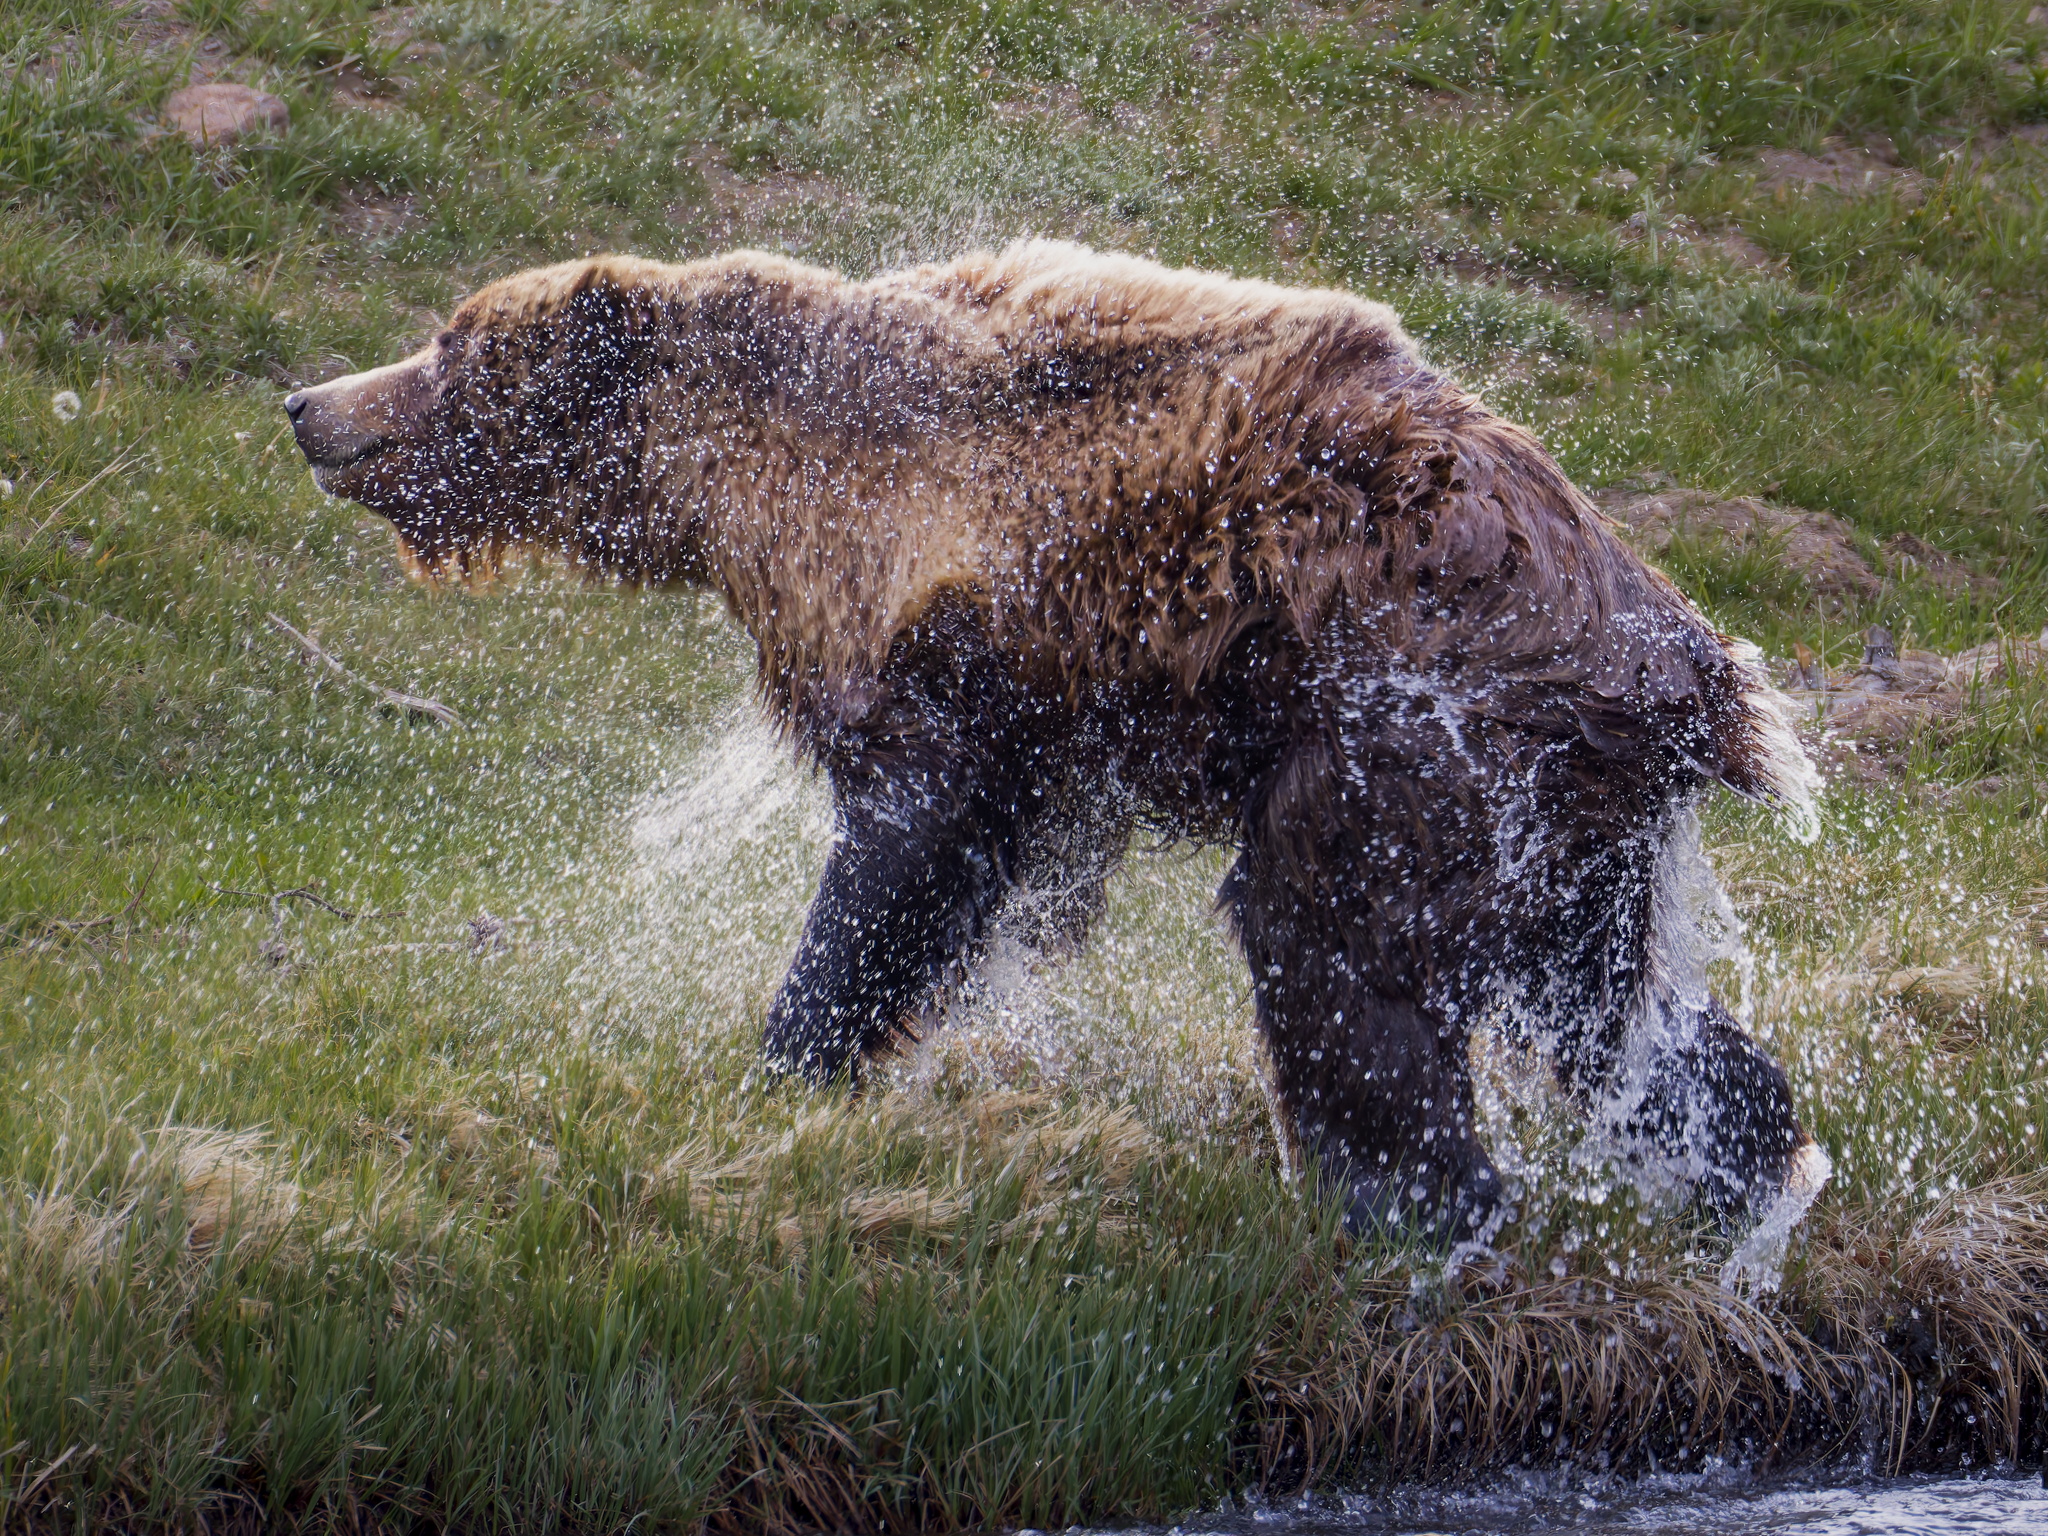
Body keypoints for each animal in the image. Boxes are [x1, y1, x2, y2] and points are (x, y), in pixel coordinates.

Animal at [286, 239, 1830, 1254]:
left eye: (448, 343)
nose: (310, 404)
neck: (730, 487)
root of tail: (1699, 664)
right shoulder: (1040, 707)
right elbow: (994, 872)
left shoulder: (946, 615)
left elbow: (904, 852)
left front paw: (792, 1054)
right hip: (1556, 805)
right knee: (1600, 1004)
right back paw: (1756, 1177)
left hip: (1416, 706)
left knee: (1330, 937)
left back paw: (1401, 1214)